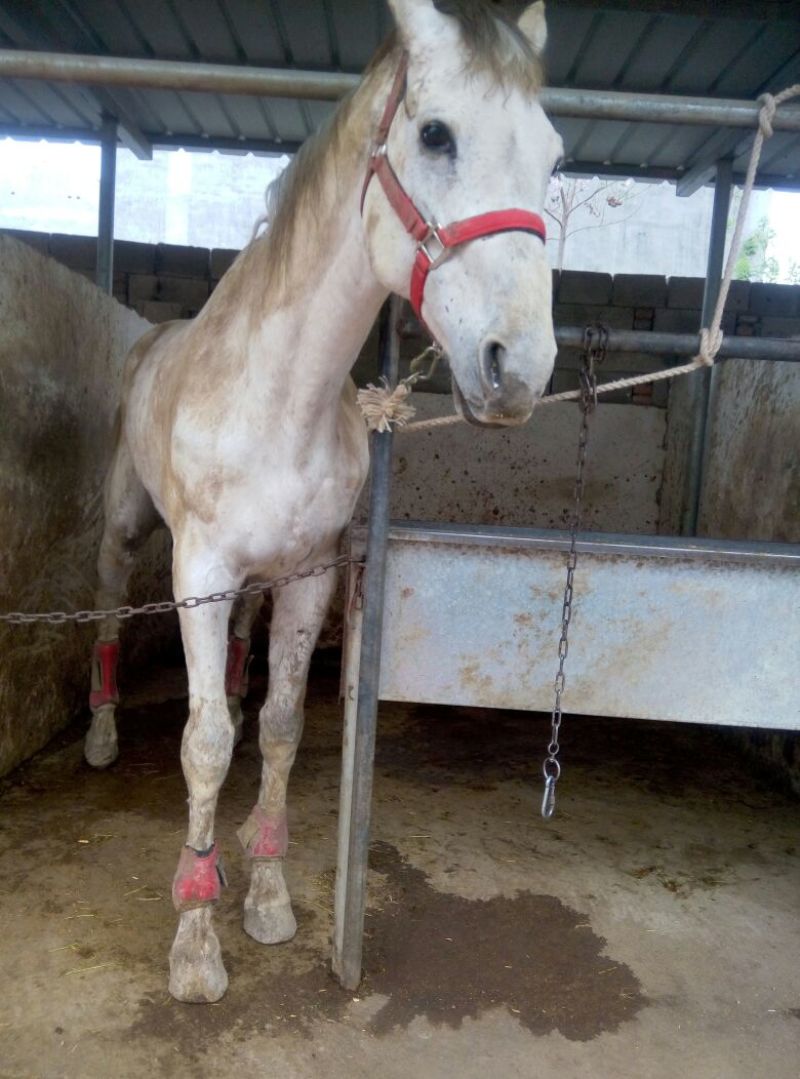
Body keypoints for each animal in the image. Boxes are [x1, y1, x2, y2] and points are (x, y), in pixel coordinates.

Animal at [84, 0, 562, 1003]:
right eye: (435, 133)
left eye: (552, 155)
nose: (519, 369)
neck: (277, 397)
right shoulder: (199, 572)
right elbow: (204, 741)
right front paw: (196, 939)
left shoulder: (306, 575)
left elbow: (276, 727)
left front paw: (264, 892)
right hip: (127, 530)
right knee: (106, 604)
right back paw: (101, 734)